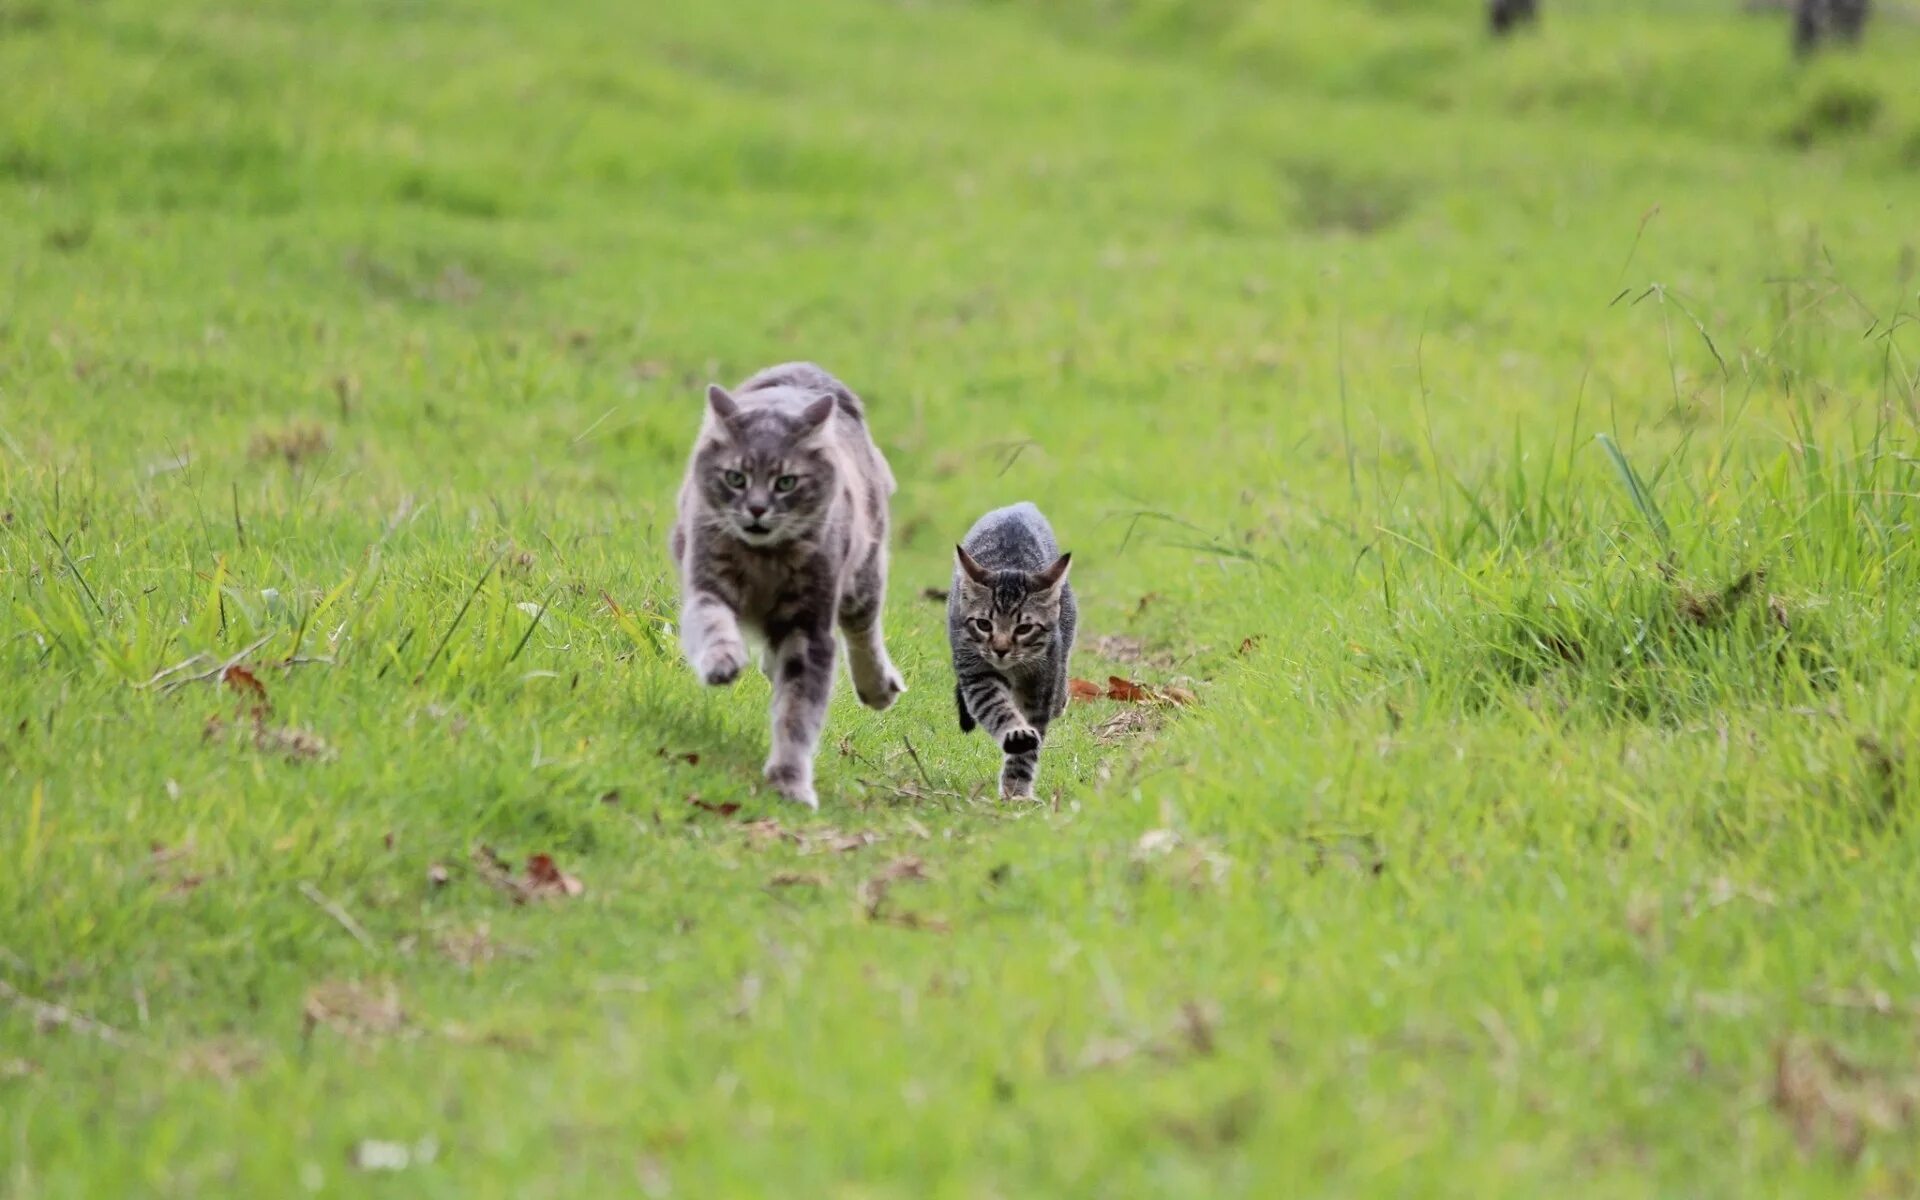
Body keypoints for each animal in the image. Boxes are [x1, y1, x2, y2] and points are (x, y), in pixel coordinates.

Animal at [672, 355, 902, 806]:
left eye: (786, 483)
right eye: (736, 478)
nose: (757, 509)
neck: (764, 560)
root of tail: (804, 370)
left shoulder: (809, 628)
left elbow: (797, 713)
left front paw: (789, 782)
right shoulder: (706, 585)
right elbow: (712, 625)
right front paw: (723, 662)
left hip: (863, 577)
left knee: (863, 633)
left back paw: (876, 686)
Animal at [948, 499, 1075, 798]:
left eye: (1024, 628)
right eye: (984, 624)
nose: (1001, 649)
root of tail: (1019, 506)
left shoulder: (1041, 682)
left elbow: (1033, 737)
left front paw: (1017, 787)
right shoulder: (976, 672)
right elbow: (996, 707)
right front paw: (1016, 735)